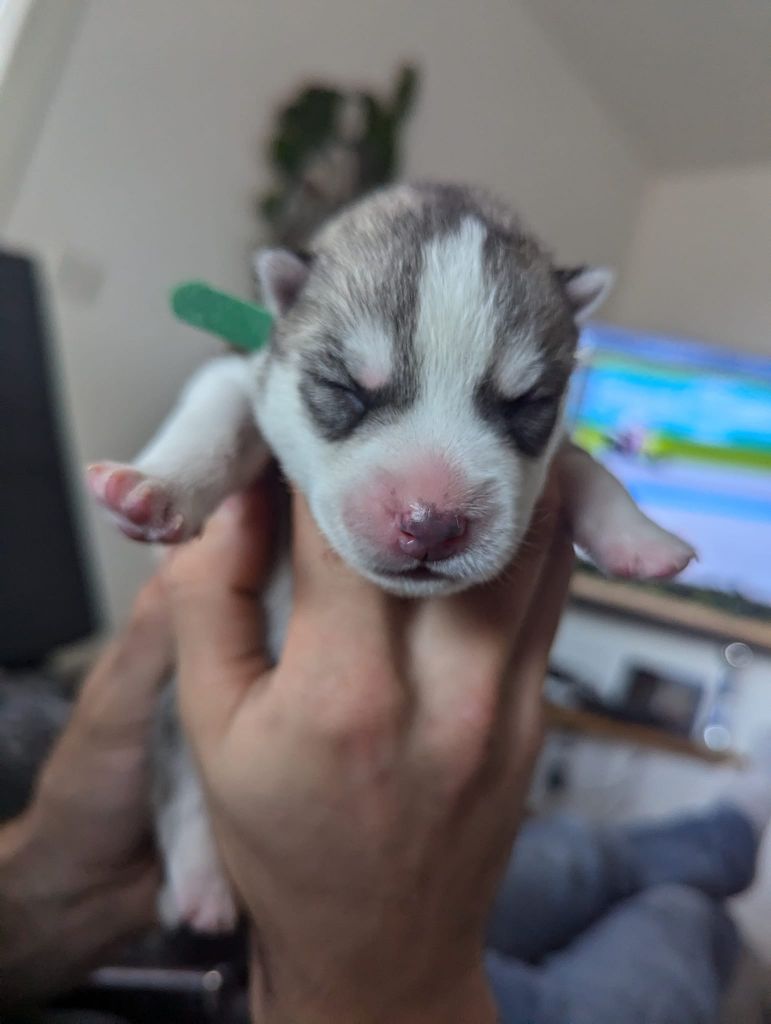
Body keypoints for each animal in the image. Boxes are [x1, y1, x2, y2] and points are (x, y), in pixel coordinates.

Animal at [87, 182, 696, 929]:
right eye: (346, 389)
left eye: (526, 404)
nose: (431, 524)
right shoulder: (246, 373)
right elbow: (217, 402)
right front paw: (152, 488)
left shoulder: (549, 453)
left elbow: (581, 463)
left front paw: (640, 538)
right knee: (178, 770)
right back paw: (201, 888)